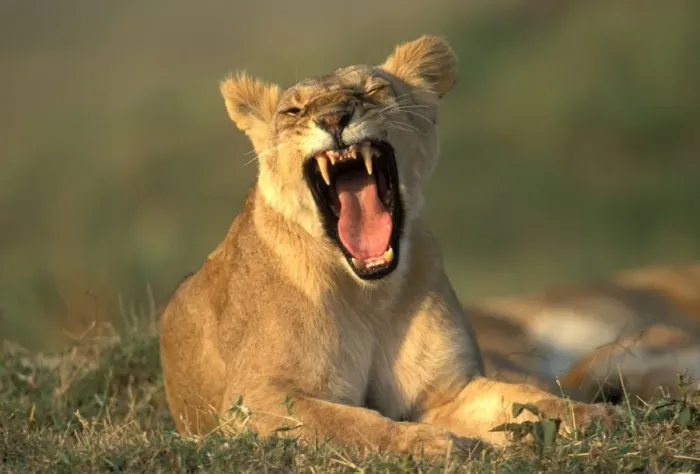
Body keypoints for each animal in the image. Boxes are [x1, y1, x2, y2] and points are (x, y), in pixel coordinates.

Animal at [159, 35, 614, 459]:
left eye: (373, 90)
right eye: (293, 112)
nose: (333, 118)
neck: (368, 295)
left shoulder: (447, 392)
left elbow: (525, 400)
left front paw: (589, 416)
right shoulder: (252, 400)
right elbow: (347, 423)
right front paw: (432, 443)